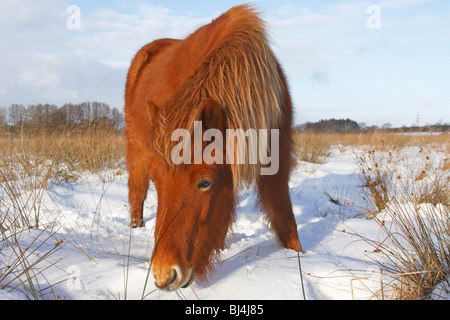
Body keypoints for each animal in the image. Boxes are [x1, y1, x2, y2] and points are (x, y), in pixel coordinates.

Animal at [125, 3, 302, 292]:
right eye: (159, 182)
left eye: (205, 182)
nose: (165, 275)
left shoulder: (277, 162)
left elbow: (285, 218)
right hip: (135, 150)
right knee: (136, 194)